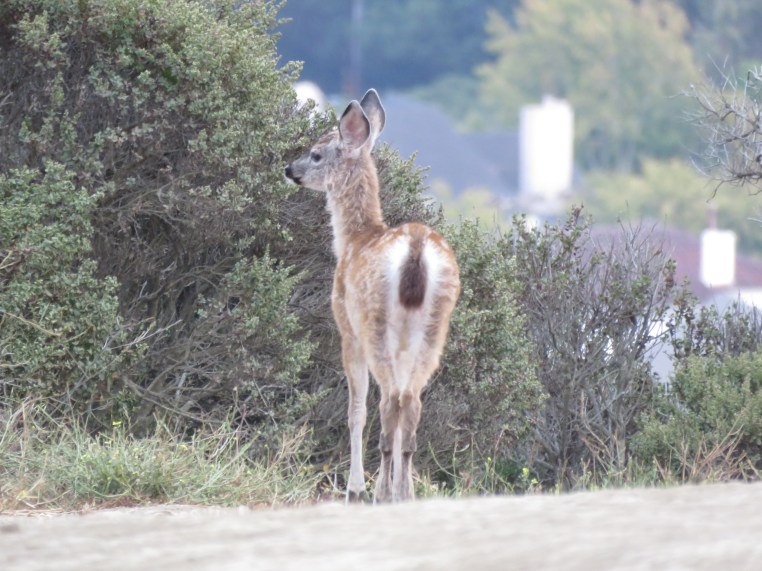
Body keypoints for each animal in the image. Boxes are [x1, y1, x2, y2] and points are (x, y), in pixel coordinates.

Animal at [285, 89, 460, 503]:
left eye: (316, 154)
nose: (289, 169)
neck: (354, 240)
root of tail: (415, 251)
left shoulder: (346, 328)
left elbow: (356, 412)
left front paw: (354, 487)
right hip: (434, 327)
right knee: (410, 403)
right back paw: (403, 492)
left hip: (375, 321)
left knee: (389, 402)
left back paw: (380, 491)